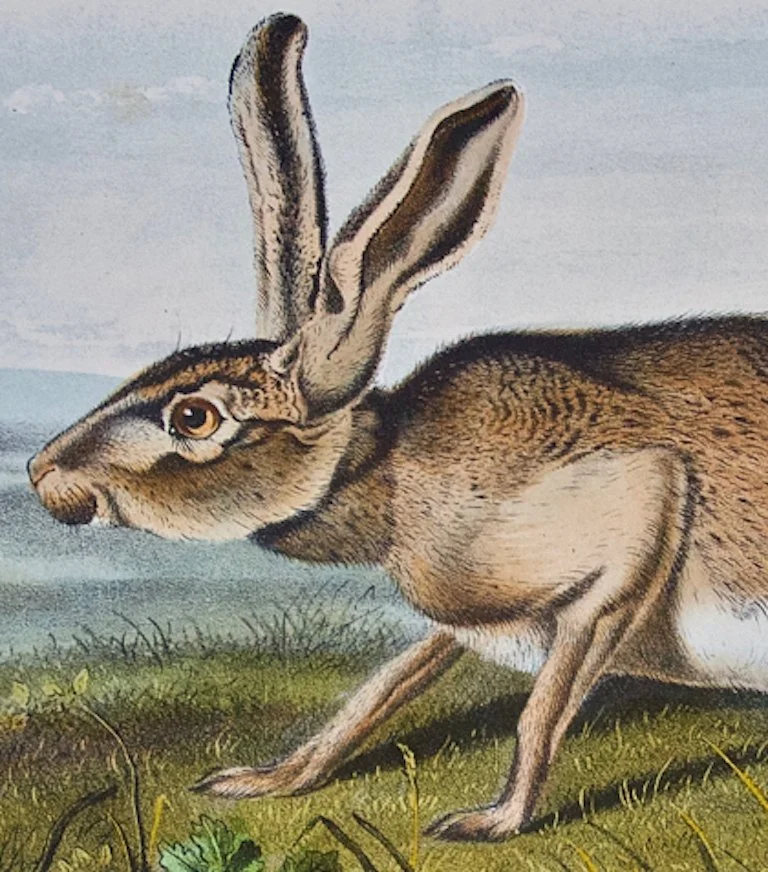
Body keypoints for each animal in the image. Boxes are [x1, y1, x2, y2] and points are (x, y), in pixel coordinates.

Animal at [27, 11, 768, 842]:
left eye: (194, 416)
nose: (43, 474)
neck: (389, 470)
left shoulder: (637, 507)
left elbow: (544, 708)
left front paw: (493, 820)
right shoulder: (463, 618)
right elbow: (382, 687)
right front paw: (267, 779)